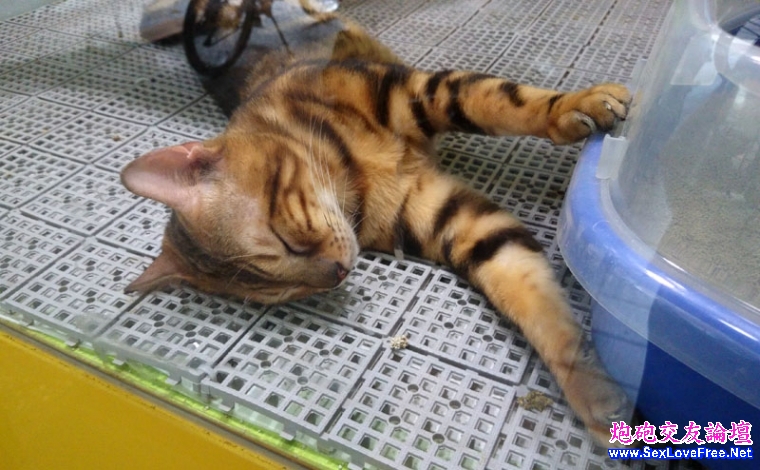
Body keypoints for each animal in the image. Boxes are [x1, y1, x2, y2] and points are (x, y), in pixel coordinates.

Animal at [121, 7, 631, 446]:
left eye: (287, 240)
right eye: (282, 291)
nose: (337, 273)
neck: (349, 172)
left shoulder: (418, 90)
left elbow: (504, 100)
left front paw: (576, 106)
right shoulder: (454, 219)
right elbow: (531, 296)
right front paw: (594, 391)